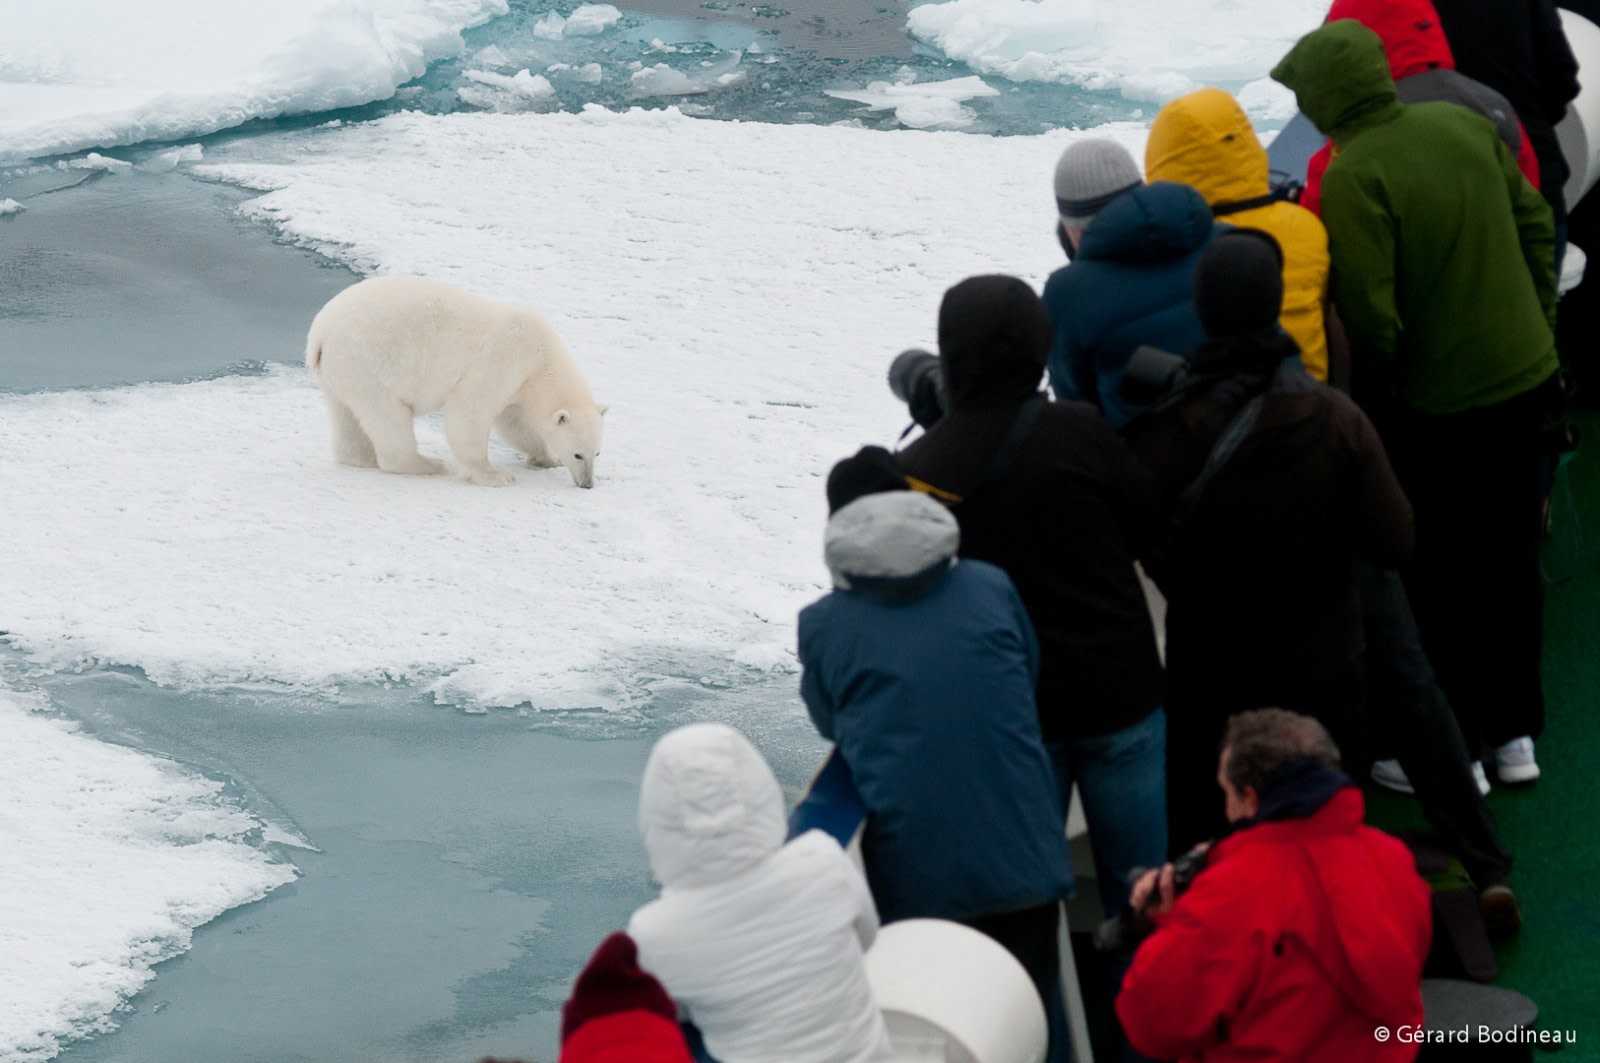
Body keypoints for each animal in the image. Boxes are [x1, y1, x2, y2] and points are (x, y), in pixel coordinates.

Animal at [302, 275, 601, 486]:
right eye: (578, 454)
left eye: (596, 453)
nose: (587, 484)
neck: (541, 355)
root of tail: (321, 335)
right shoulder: (501, 360)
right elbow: (470, 411)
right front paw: (495, 476)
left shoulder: (520, 383)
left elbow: (515, 423)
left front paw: (546, 458)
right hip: (370, 365)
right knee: (389, 417)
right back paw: (428, 464)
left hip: (341, 372)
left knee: (345, 413)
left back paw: (360, 457)